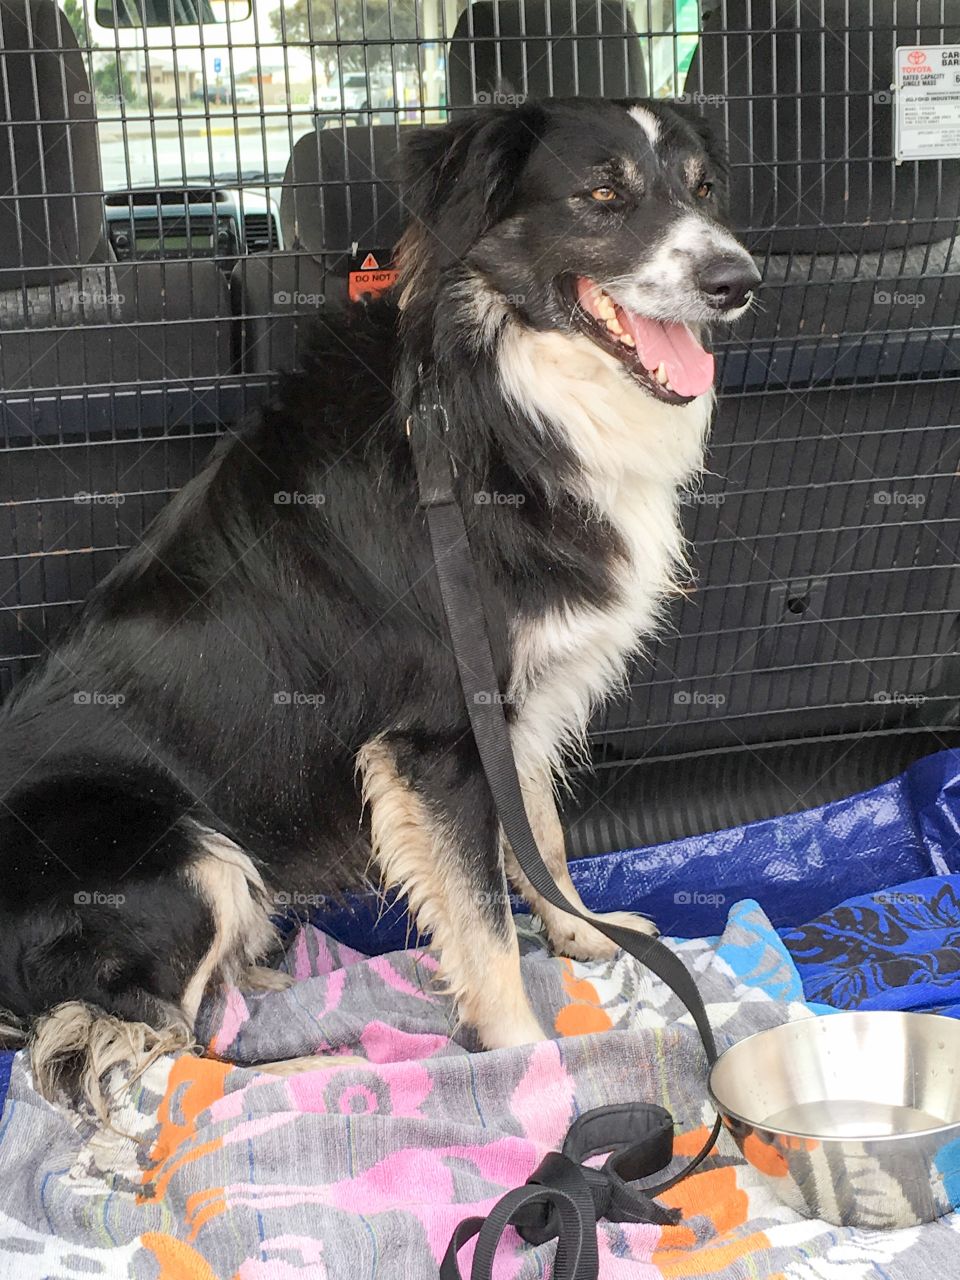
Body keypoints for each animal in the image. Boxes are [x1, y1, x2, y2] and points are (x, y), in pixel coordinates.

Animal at [0, 99, 757, 1105]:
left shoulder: (515, 708)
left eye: (704, 189)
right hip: (183, 858)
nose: (739, 281)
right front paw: (523, 1057)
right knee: (156, 1046)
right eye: (602, 195)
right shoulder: (437, 738)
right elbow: (481, 921)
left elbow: (543, 838)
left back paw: (268, 977)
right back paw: (316, 1066)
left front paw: (582, 936)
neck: (498, 397)